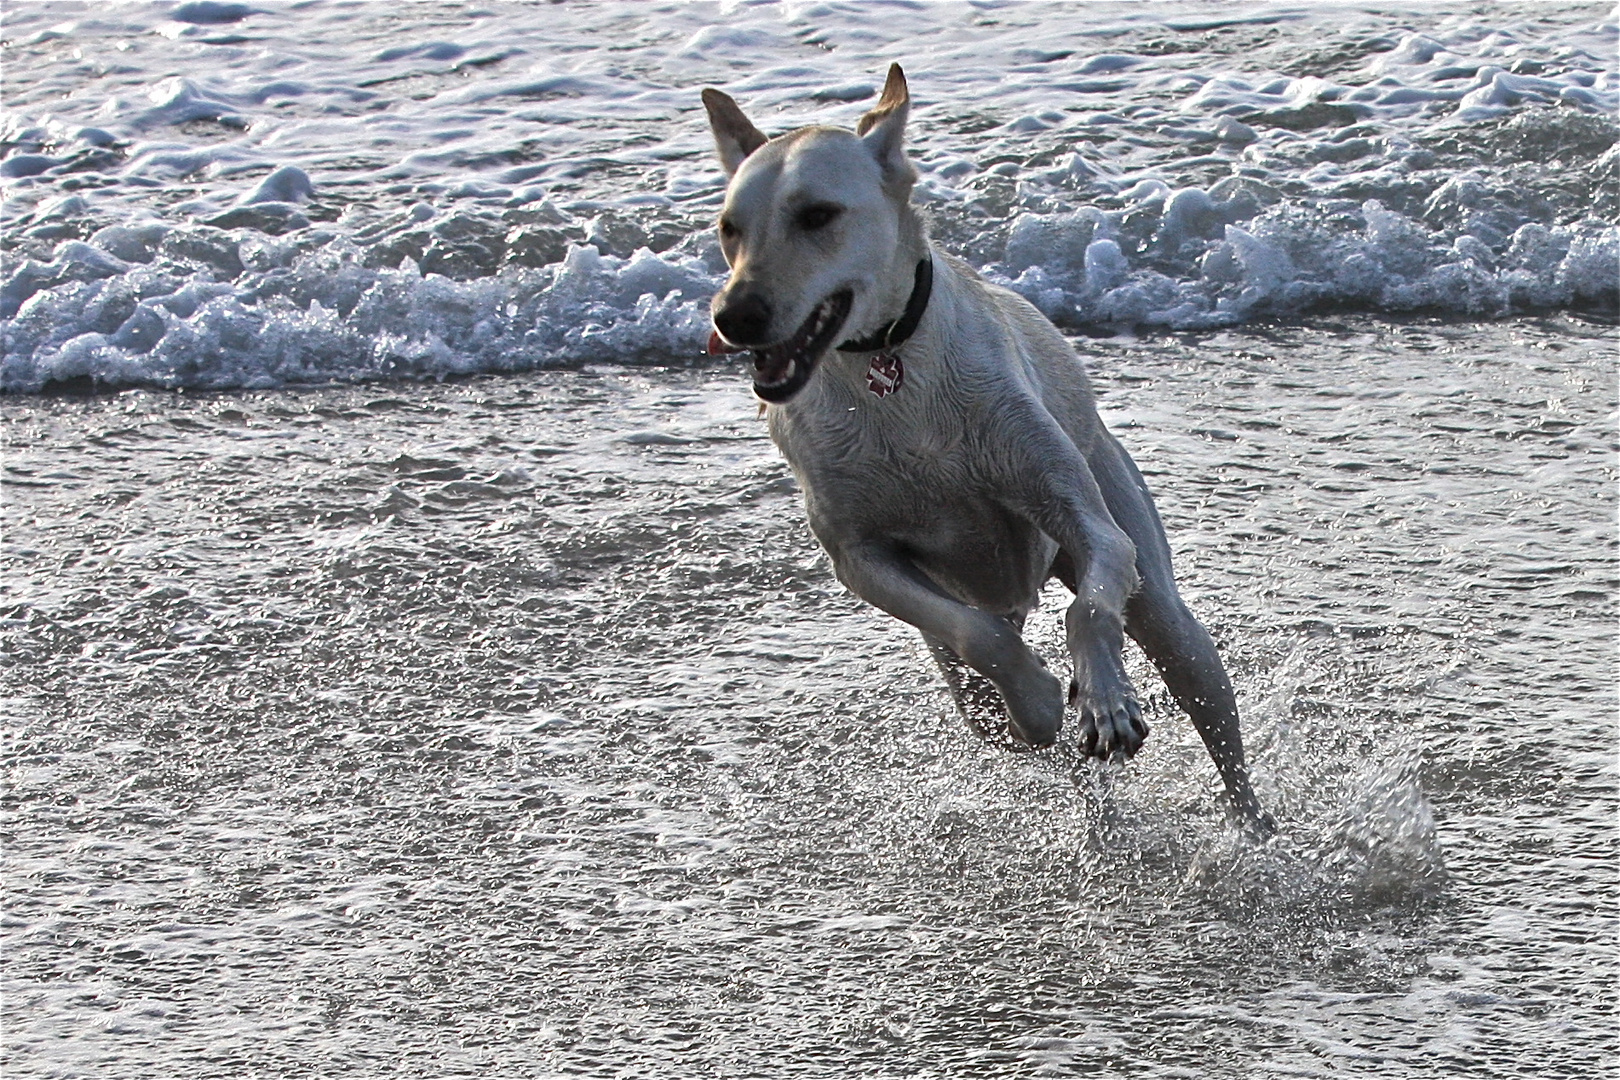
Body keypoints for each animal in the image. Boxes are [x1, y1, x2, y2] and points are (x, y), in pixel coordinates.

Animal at [703, 65, 1270, 829]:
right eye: (729, 228)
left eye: (817, 215)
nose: (733, 315)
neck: (885, 366)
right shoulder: (862, 558)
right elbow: (980, 638)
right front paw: (1038, 694)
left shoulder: (1079, 511)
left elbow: (1092, 602)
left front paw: (1106, 698)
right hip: (968, 672)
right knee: (1006, 703)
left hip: (1154, 584)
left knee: (1195, 679)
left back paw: (1252, 830)